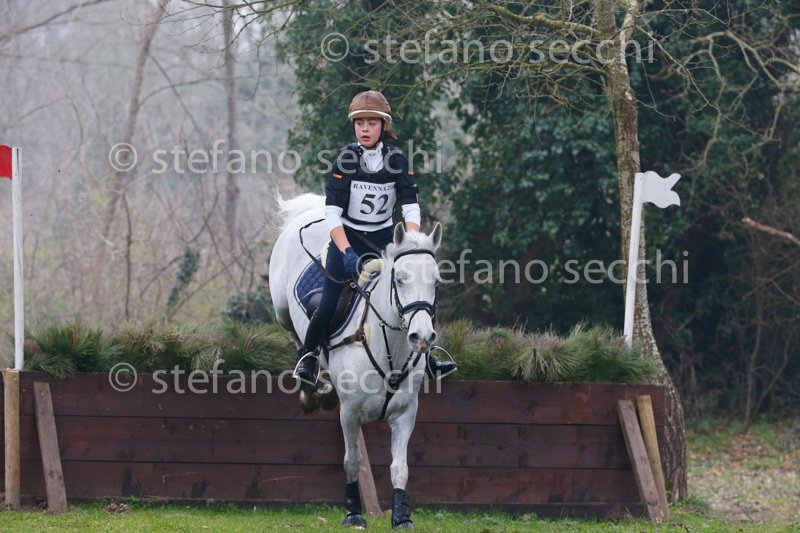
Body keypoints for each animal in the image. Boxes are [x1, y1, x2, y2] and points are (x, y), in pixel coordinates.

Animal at [269, 193, 441, 529]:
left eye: (436, 282)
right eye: (400, 280)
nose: (422, 336)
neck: (390, 348)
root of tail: (311, 209)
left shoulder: (406, 413)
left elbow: (400, 467)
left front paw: (401, 516)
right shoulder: (349, 414)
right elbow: (352, 462)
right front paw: (353, 513)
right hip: (283, 310)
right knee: (299, 337)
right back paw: (309, 385)